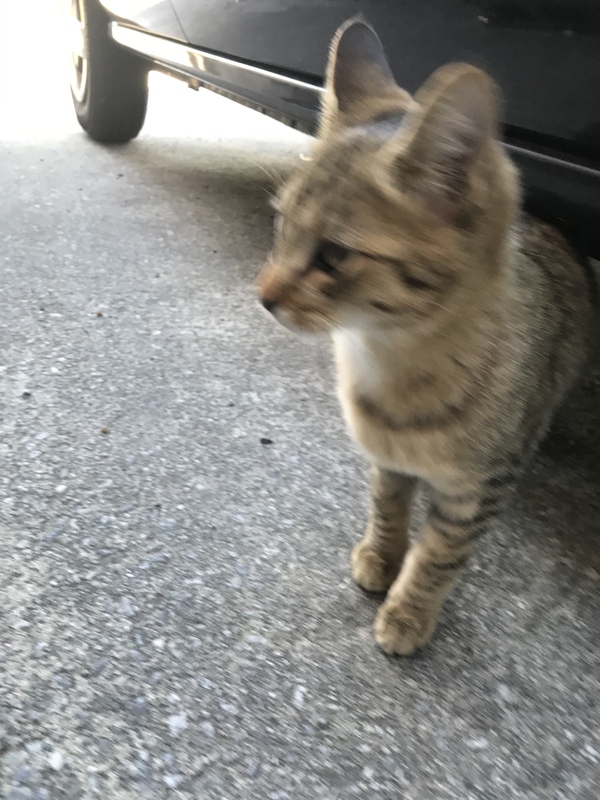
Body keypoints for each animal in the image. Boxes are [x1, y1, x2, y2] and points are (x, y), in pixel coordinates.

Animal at [257, 17, 598, 655]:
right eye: (281, 223)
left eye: (333, 255)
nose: (263, 295)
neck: (389, 361)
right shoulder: (386, 463)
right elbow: (387, 509)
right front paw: (381, 556)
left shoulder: (478, 489)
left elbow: (441, 554)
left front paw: (409, 610)